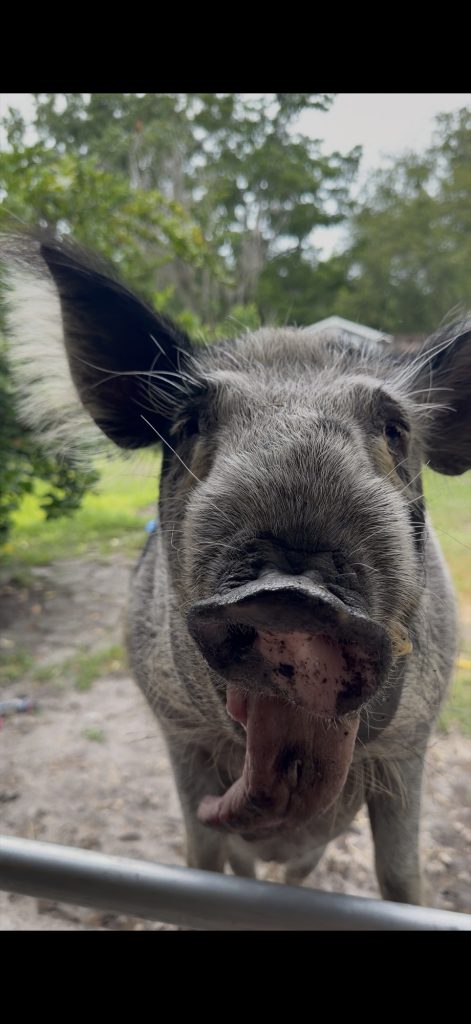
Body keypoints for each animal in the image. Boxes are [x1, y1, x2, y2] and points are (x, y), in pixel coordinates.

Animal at [3, 233, 470, 905]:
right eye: (190, 424)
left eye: (395, 429)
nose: (292, 591)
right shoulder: (178, 733)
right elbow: (201, 857)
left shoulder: (412, 742)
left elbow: (401, 877)